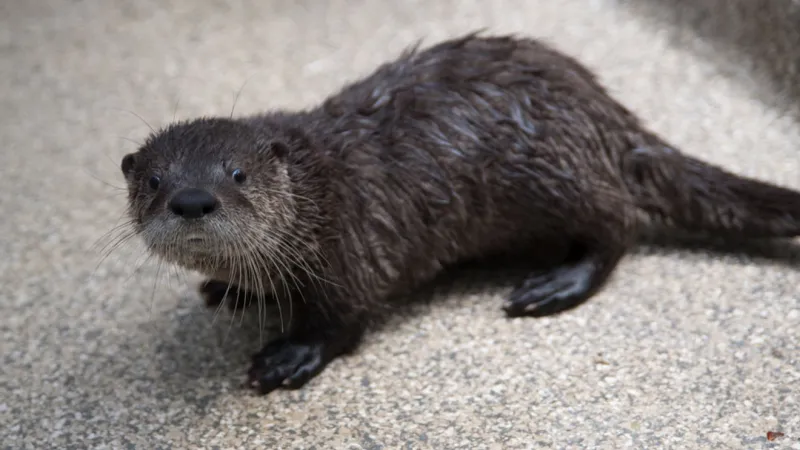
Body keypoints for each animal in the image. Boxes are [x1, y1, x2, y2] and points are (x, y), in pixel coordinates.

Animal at [119, 32, 800, 395]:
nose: (192, 200)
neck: (317, 192)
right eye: (154, 181)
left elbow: (341, 318)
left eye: (237, 174)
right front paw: (231, 290)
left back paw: (554, 284)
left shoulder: (352, 244)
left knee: (618, 224)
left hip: (557, 173)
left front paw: (288, 356)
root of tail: (608, 114)